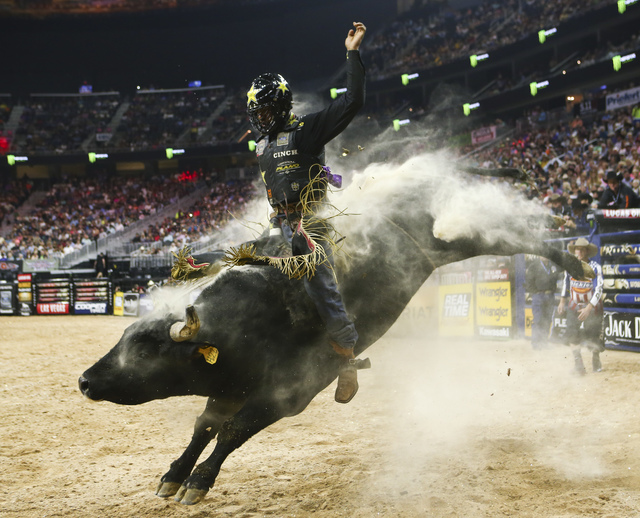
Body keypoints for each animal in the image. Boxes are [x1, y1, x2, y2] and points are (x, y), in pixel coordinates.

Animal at [79, 154, 592, 505]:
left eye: (146, 350)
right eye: (124, 340)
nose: (84, 380)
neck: (248, 323)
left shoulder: (289, 393)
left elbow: (233, 431)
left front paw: (199, 482)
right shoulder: (227, 387)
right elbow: (204, 426)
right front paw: (173, 475)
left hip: (449, 241)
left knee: (511, 239)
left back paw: (576, 262)